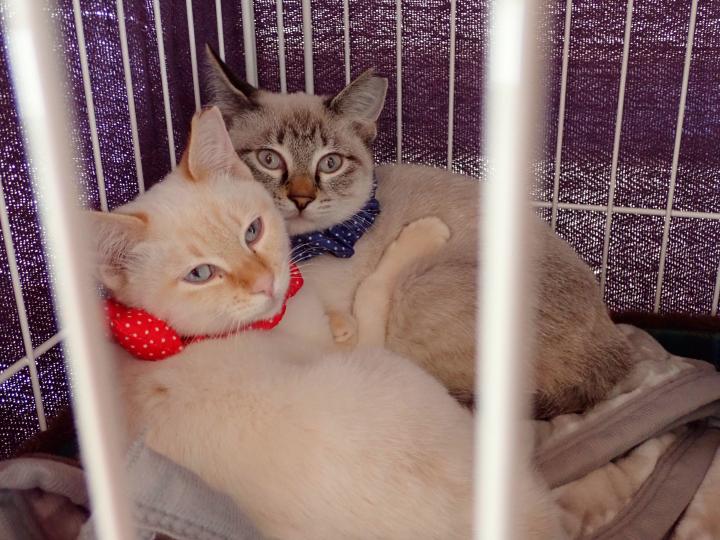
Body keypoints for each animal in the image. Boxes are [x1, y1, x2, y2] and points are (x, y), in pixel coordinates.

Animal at [88, 107, 564, 540]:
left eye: (253, 231)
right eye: (200, 274)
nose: (266, 283)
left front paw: (339, 321)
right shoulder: (364, 345)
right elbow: (372, 290)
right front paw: (422, 234)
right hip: (398, 376)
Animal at [204, 47, 634, 418]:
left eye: (330, 164)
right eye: (269, 159)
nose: (301, 199)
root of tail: (615, 346)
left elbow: (366, 298)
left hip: (418, 291)